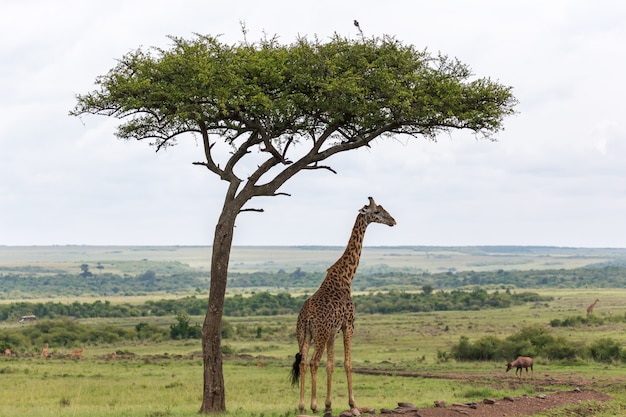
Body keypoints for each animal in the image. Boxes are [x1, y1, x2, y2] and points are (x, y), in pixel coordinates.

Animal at [288, 196, 394, 416]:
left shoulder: (332, 332)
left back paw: (301, 406)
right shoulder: (348, 325)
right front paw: (353, 404)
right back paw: (312, 405)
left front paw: (328, 405)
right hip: (318, 335)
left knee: (302, 362)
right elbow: (347, 362)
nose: (393, 221)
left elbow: (330, 365)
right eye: (377, 212)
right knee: (313, 361)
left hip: (303, 334)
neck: (346, 277)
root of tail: (307, 317)